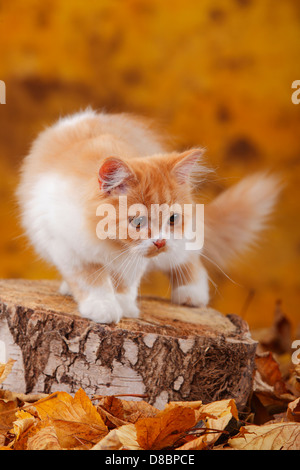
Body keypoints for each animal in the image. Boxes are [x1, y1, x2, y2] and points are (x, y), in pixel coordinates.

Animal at [17, 109, 282, 324]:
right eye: (138, 222)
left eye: (172, 219)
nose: (160, 241)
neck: (111, 245)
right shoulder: (68, 249)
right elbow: (92, 281)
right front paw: (104, 306)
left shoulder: (135, 259)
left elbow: (125, 282)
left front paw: (124, 306)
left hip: (177, 247)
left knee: (189, 259)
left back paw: (191, 293)